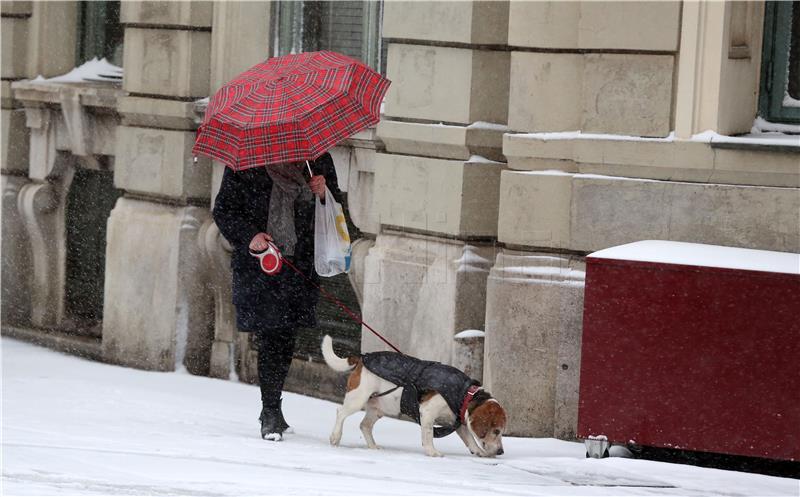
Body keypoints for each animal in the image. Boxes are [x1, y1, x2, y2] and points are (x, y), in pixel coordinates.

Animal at [320, 334, 504, 458]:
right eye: (496, 431)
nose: (501, 451)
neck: (465, 393)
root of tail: (363, 357)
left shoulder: (457, 422)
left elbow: (470, 439)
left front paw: (478, 451)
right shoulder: (428, 412)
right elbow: (428, 435)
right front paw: (432, 452)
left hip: (379, 408)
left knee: (364, 426)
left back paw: (373, 446)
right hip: (358, 399)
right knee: (340, 413)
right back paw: (335, 437)